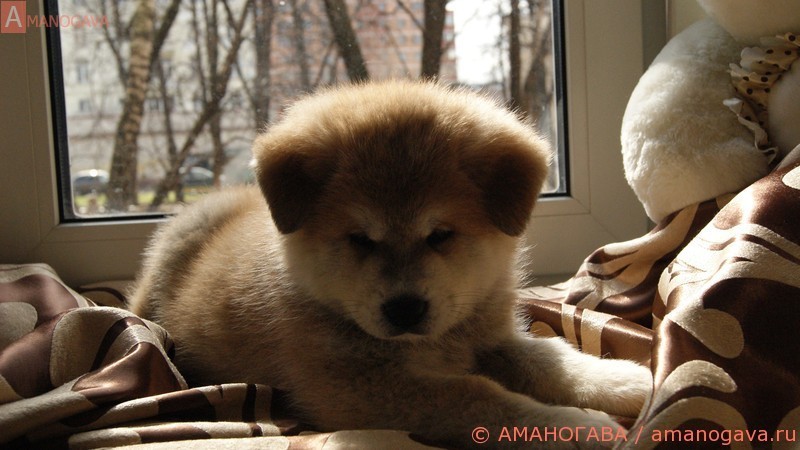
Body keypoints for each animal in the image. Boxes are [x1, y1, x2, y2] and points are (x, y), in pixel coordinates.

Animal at [130, 80, 651, 449]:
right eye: (360, 239)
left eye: (440, 235)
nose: (405, 309)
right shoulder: (353, 387)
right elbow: (474, 394)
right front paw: (568, 425)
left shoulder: (491, 338)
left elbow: (551, 359)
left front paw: (625, 378)